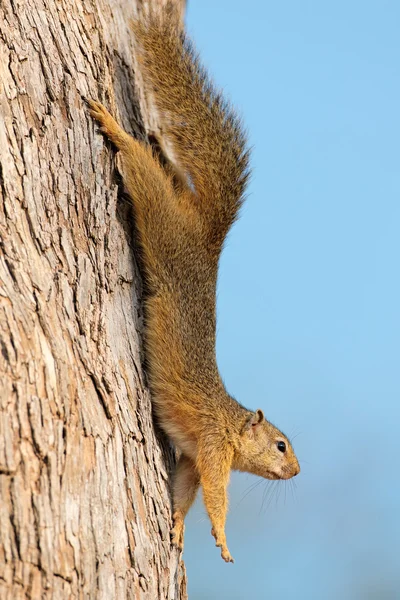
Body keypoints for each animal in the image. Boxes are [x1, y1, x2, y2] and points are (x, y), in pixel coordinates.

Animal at [88, 4, 300, 564]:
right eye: (281, 445)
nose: (297, 471)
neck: (230, 420)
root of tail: (207, 237)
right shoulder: (211, 446)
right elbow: (216, 495)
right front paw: (222, 538)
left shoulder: (189, 455)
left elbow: (184, 490)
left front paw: (179, 526)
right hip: (163, 221)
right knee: (144, 175)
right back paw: (116, 129)